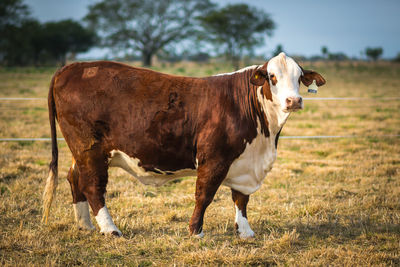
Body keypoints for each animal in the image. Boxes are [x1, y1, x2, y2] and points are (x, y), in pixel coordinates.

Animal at [43, 52, 324, 239]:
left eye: (300, 77)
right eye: (272, 77)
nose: (293, 101)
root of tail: (72, 67)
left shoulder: (245, 164)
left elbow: (241, 198)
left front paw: (245, 231)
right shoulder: (214, 158)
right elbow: (204, 194)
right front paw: (195, 231)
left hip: (80, 151)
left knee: (74, 178)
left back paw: (85, 224)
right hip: (89, 148)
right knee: (93, 185)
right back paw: (110, 229)